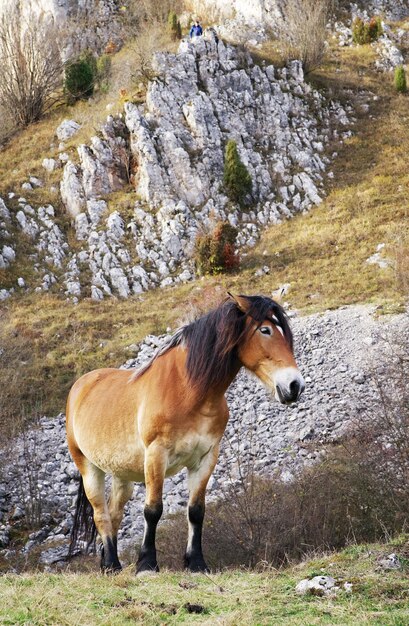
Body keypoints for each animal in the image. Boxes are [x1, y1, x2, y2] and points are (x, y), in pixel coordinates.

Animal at [66, 292, 302, 572]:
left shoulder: (206, 458)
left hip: (121, 473)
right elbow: (153, 509)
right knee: (101, 513)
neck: (188, 390)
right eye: (265, 330)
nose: (295, 385)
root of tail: (81, 385)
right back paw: (112, 564)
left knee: (114, 514)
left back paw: (109, 564)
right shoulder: (156, 455)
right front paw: (147, 564)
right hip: (89, 468)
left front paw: (196, 562)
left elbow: (196, 511)